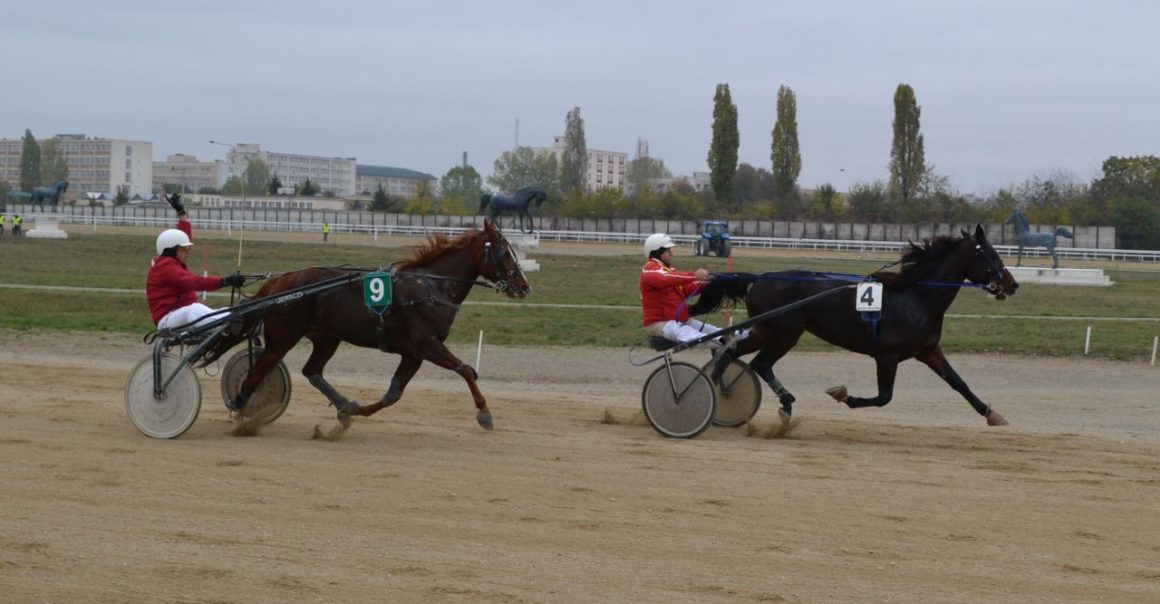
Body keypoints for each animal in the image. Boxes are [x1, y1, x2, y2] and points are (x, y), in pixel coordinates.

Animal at [209, 219, 531, 435]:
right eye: (503, 251)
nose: (524, 287)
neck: (431, 286)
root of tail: (277, 284)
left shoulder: (413, 353)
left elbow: (393, 394)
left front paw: (353, 411)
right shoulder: (427, 344)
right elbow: (466, 370)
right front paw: (485, 414)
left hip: (327, 338)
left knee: (312, 371)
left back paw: (341, 404)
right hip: (282, 339)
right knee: (255, 375)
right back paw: (240, 416)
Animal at [691, 223, 1020, 426]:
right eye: (992, 254)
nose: (1012, 284)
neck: (917, 297)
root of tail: (760, 278)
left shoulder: (927, 351)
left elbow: (958, 382)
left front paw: (991, 413)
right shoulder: (887, 356)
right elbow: (884, 397)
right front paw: (843, 395)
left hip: (765, 330)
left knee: (732, 353)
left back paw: (720, 394)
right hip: (785, 333)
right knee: (760, 363)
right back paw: (781, 402)